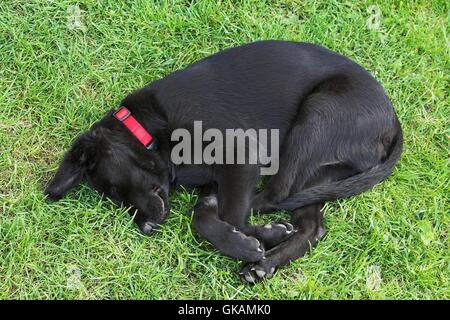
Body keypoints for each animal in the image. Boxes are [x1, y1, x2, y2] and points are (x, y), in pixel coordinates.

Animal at [46, 40, 404, 282]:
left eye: (116, 191)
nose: (146, 228)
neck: (151, 128)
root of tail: (393, 121)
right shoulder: (218, 179)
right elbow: (203, 219)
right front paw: (246, 243)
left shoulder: (241, 156)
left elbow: (230, 215)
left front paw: (258, 238)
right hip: (321, 171)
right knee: (312, 225)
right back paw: (264, 265)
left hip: (314, 118)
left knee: (277, 195)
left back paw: (268, 243)